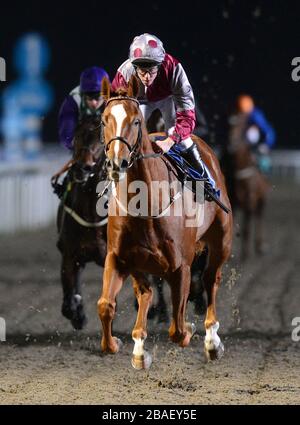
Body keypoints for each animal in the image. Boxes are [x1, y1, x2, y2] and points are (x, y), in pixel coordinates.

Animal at [55, 116, 108, 328]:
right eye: (76, 136)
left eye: (101, 139)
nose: (82, 167)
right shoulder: (70, 254)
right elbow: (68, 303)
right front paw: (78, 313)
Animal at [97, 76, 233, 368]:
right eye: (103, 120)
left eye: (136, 121)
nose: (116, 162)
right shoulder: (119, 257)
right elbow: (106, 305)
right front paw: (117, 344)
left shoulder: (181, 267)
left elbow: (178, 329)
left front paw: (193, 331)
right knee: (145, 292)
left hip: (221, 242)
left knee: (210, 280)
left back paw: (212, 341)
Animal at [221, 111, 268, 260]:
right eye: (227, 125)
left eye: (242, 126)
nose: (231, 144)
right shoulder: (232, 202)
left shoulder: (249, 201)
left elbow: (247, 228)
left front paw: (245, 254)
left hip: (261, 201)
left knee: (259, 218)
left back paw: (260, 246)